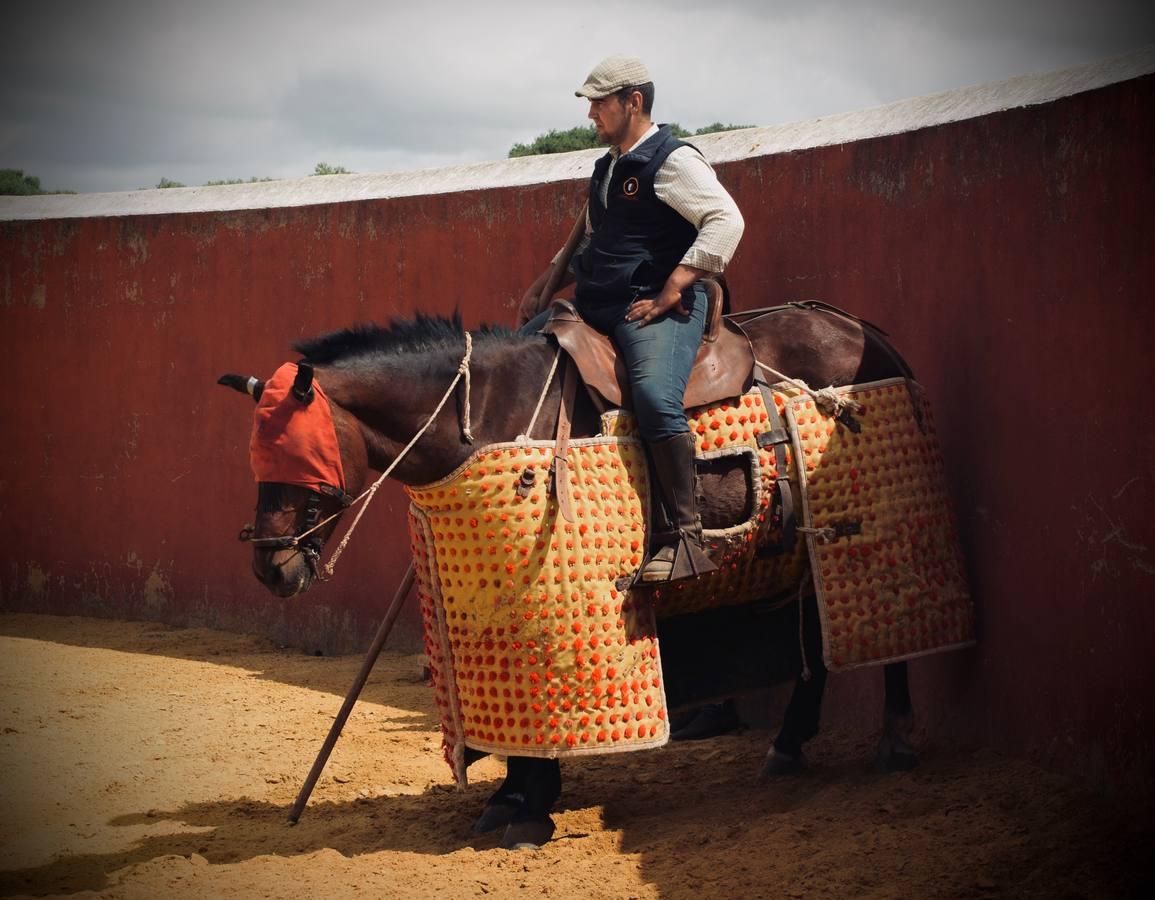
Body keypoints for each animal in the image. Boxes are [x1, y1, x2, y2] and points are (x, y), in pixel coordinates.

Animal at [218, 309, 919, 850]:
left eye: (300, 463)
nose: (270, 568)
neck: (484, 413)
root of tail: (864, 331)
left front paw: (529, 810)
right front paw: (508, 796)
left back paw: (896, 740)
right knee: (816, 638)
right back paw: (788, 745)